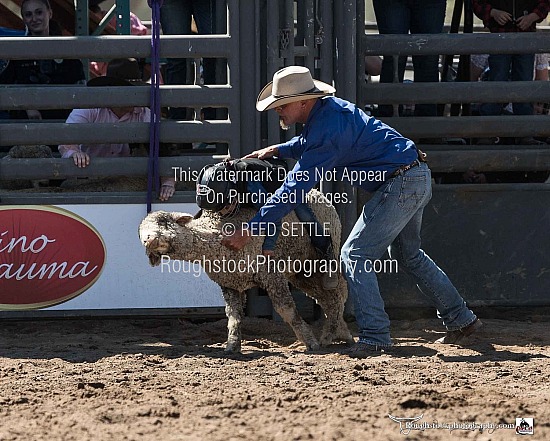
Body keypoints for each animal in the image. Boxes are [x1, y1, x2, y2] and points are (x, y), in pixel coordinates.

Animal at [138, 187, 354, 352]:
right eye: (141, 235)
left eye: (164, 222)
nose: (150, 240)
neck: (218, 234)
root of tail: (319, 193)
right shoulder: (228, 283)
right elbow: (233, 315)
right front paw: (232, 346)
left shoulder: (271, 273)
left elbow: (286, 310)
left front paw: (310, 342)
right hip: (301, 271)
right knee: (326, 297)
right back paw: (340, 332)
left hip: (321, 259)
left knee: (338, 291)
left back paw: (331, 335)